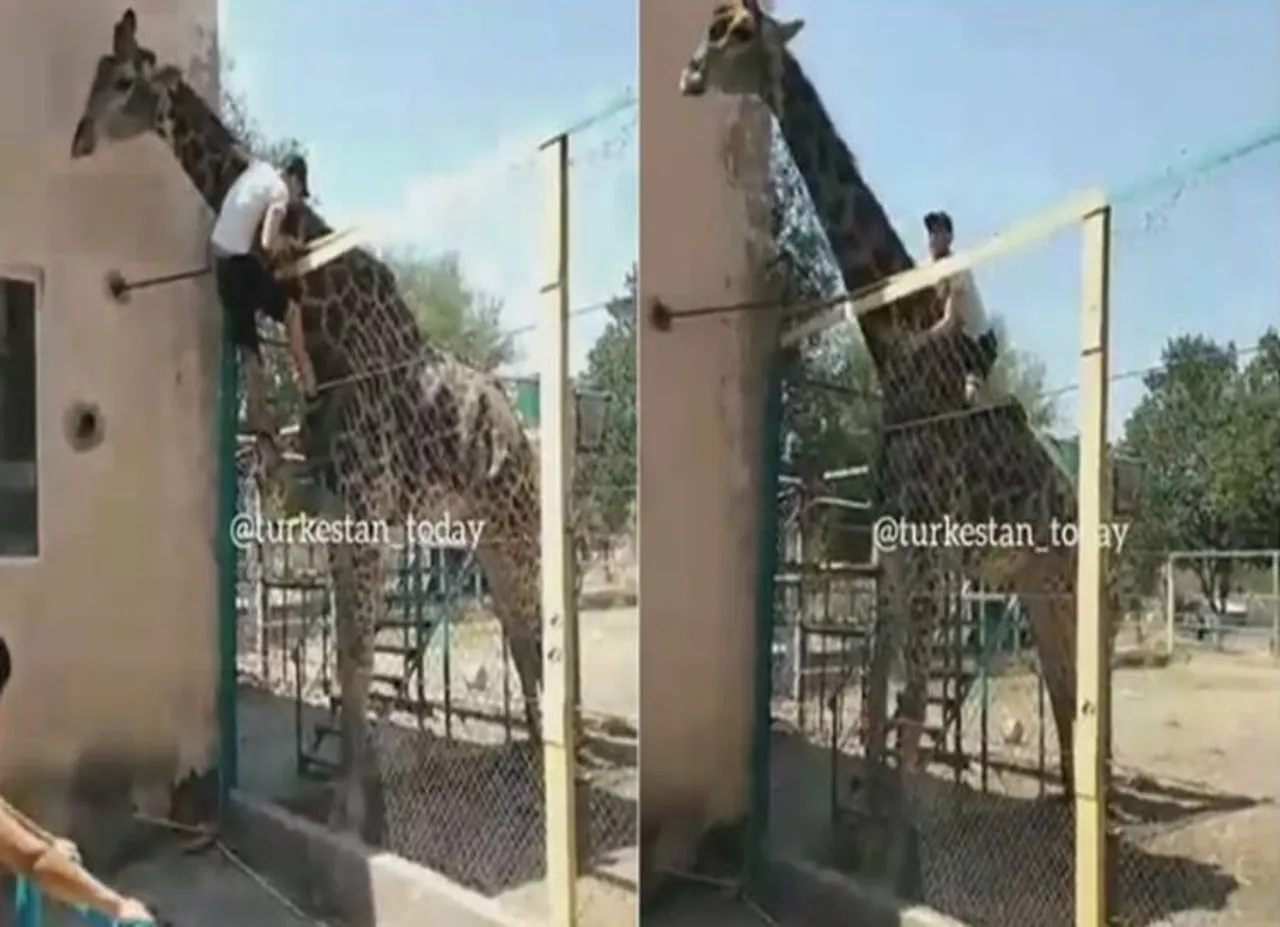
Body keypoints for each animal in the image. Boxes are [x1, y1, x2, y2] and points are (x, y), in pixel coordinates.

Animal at [71, 12, 545, 839]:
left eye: (124, 81)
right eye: (97, 74)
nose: (78, 138)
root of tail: (519, 435)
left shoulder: (367, 508)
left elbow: (355, 652)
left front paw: (359, 810)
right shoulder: (341, 512)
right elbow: (347, 657)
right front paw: (357, 804)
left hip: (516, 523)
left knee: (536, 630)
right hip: (479, 531)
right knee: (521, 633)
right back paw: (535, 767)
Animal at [680, 0, 1080, 875]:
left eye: (738, 30)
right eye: (710, 25)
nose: (688, 73)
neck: (895, 356)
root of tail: (1068, 480)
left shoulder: (927, 562)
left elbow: (910, 706)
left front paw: (903, 850)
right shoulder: (893, 557)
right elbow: (871, 699)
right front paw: (861, 836)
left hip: (1063, 570)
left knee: (1082, 678)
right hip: (1032, 579)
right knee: (1067, 686)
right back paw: (1068, 803)